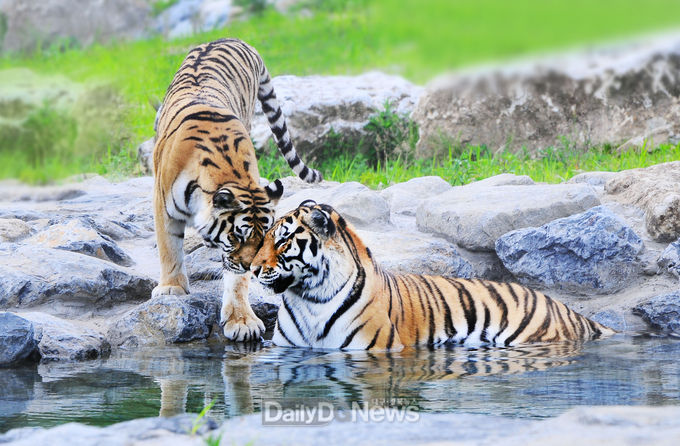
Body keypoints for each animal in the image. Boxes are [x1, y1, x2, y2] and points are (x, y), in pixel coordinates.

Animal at [152, 40, 322, 344]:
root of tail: (233, 39)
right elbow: (169, 248)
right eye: (235, 236)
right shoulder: (163, 206)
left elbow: (236, 281)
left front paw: (242, 321)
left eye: (263, 237)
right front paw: (171, 287)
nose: (252, 267)